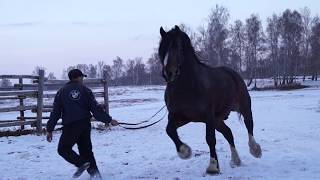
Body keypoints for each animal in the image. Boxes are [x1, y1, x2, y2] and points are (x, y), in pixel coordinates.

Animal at [159, 25, 262, 174]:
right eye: (162, 48)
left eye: (177, 47)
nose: (169, 73)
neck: (187, 86)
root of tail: (233, 73)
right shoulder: (180, 117)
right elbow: (169, 130)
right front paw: (185, 152)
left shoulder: (208, 117)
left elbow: (210, 139)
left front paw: (212, 167)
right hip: (218, 120)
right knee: (228, 133)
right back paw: (236, 160)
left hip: (243, 107)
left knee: (249, 125)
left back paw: (255, 150)